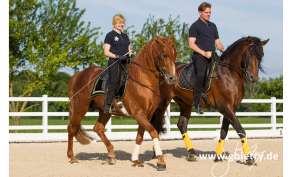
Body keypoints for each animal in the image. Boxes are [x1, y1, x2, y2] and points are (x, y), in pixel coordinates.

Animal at [67, 36, 177, 170]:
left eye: (175, 54)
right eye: (163, 55)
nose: (172, 78)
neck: (142, 79)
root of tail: (76, 76)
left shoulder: (146, 114)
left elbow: (140, 136)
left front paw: (135, 160)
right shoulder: (138, 113)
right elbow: (153, 132)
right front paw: (161, 161)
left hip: (105, 111)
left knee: (98, 128)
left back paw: (111, 155)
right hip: (80, 108)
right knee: (71, 129)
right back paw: (71, 157)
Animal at [134, 35, 270, 165]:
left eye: (261, 56)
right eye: (249, 55)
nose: (253, 78)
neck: (230, 73)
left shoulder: (231, 108)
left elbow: (224, 132)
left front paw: (218, 157)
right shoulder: (225, 107)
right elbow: (240, 130)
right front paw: (250, 158)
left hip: (185, 103)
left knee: (181, 125)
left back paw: (191, 154)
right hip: (163, 103)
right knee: (157, 125)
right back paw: (157, 155)